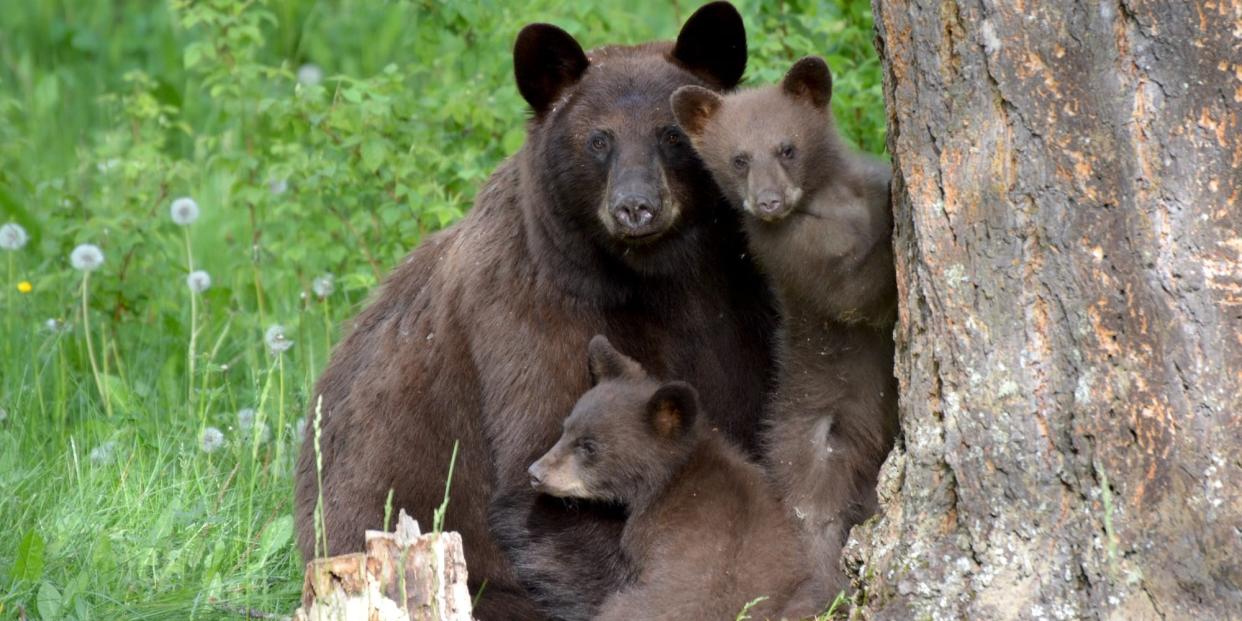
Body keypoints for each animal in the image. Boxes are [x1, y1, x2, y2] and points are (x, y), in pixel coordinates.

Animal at [293, 4, 775, 621]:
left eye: (671, 134)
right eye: (598, 139)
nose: (636, 207)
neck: (661, 279)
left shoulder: (740, 309)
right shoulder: (536, 315)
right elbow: (550, 476)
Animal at [675, 55, 899, 608]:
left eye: (787, 147)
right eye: (738, 159)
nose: (769, 202)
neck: (833, 207)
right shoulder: (798, 259)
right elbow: (856, 294)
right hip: (809, 446)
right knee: (812, 520)